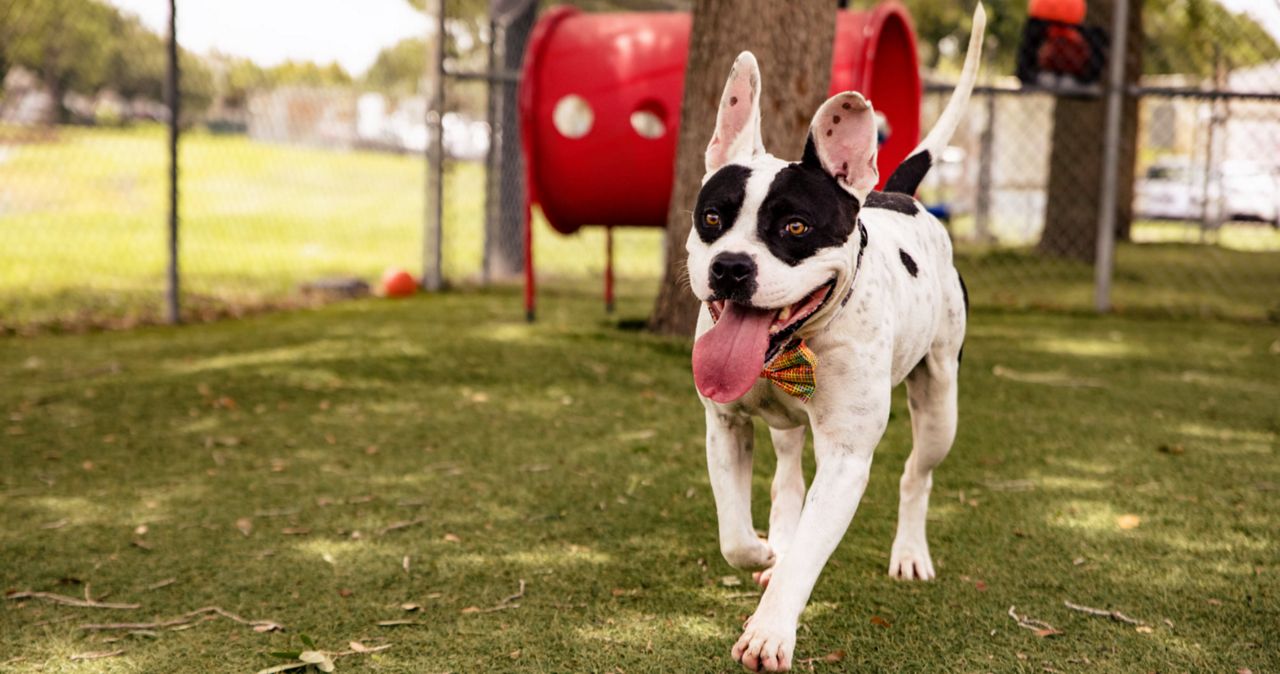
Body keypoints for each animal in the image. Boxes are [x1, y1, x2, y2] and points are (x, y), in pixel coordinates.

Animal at [686, 3, 983, 670]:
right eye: (712, 218)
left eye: (796, 227)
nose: (731, 267)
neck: (798, 347)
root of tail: (897, 193)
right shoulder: (726, 425)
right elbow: (734, 535)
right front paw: (765, 552)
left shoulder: (847, 458)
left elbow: (807, 554)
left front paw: (769, 632)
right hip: (791, 428)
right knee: (788, 476)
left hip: (942, 406)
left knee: (916, 474)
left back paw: (910, 554)